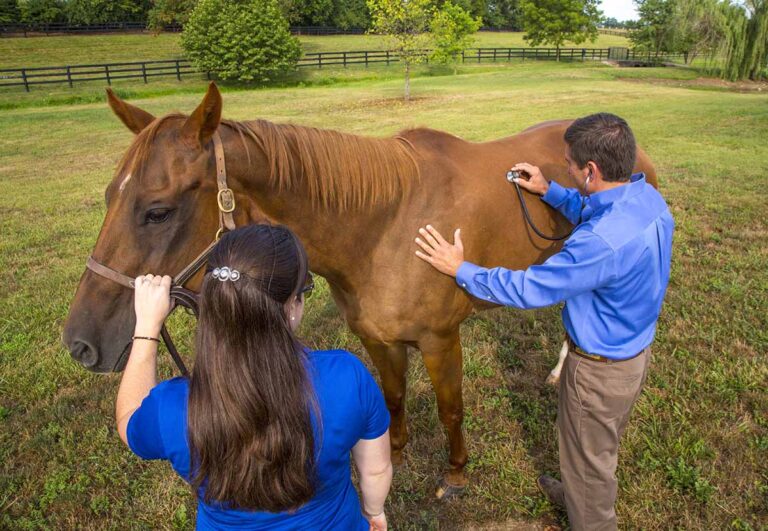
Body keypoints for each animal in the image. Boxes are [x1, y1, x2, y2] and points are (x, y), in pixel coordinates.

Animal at [63, 83, 658, 498]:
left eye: (157, 211)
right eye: (109, 197)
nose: (80, 343)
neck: (386, 225)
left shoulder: (441, 341)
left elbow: (451, 410)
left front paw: (455, 475)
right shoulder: (378, 339)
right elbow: (392, 400)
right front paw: (394, 455)